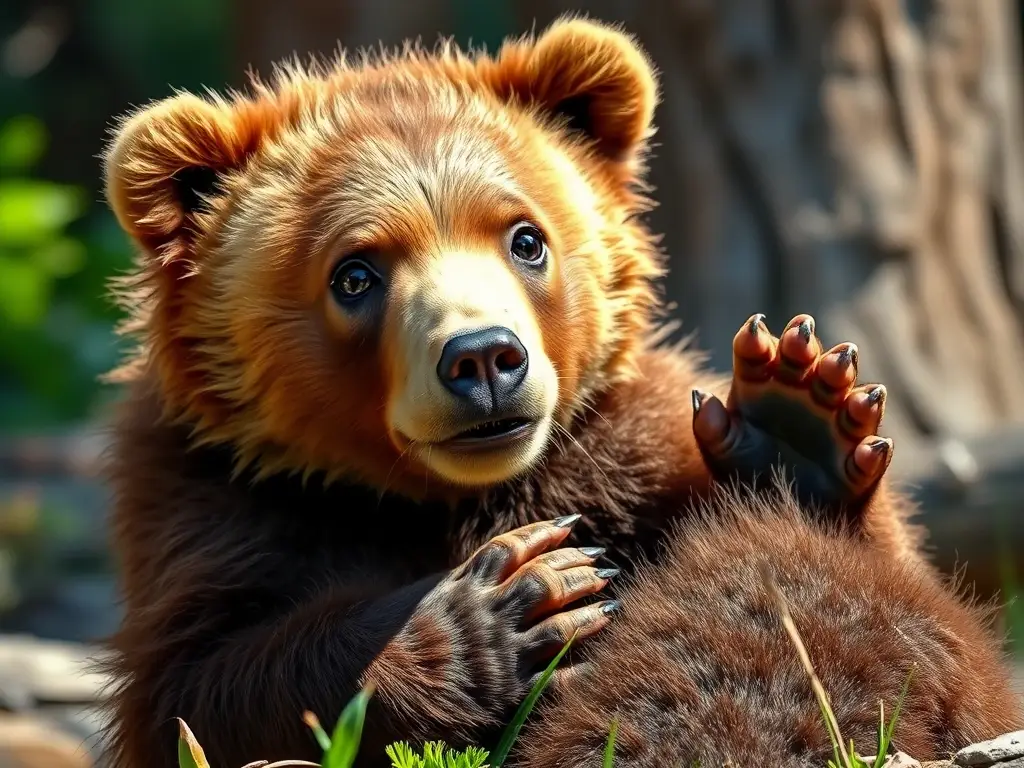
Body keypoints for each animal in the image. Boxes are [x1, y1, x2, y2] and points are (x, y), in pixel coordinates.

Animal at [94, 15, 1020, 768]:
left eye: (525, 238)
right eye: (354, 273)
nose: (482, 357)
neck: (454, 495)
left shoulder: (626, 440)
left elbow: (873, 570)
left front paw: (800, 424)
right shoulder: (218, 502)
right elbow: (200, 687)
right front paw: (520, 598)